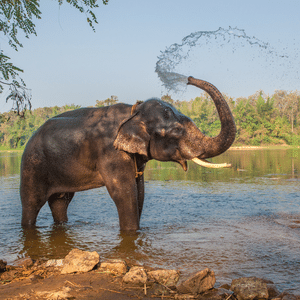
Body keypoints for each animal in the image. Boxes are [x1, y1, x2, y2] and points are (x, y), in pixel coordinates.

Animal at [20, 76, 237, 231]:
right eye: (176, 131)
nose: (189, 78)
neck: (134, 111)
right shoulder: (111, 152)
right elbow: (124, 193)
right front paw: (132, 232)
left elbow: (139, 191)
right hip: (33, 164)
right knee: (32, 203)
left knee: (60, 202)